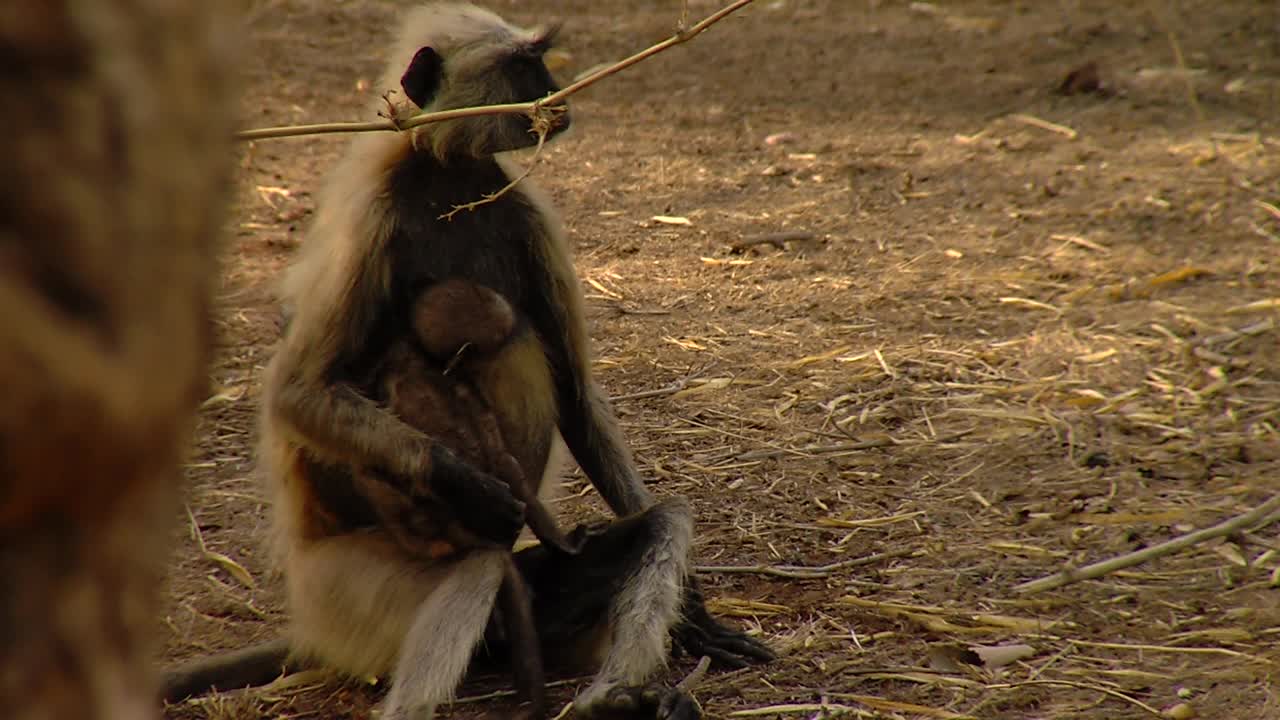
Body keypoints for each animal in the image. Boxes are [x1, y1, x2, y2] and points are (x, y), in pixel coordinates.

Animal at [247, 4, 768, 717]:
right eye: (525, 67)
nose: (556, 91)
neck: (448, 173)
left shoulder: (523, 211)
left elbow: (575, 395)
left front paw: (695, 616)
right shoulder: (369, 223)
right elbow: (298, 393)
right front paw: (473, 485)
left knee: (660, 522)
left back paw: (620, 696)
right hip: (345, 598)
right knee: (476, 568)